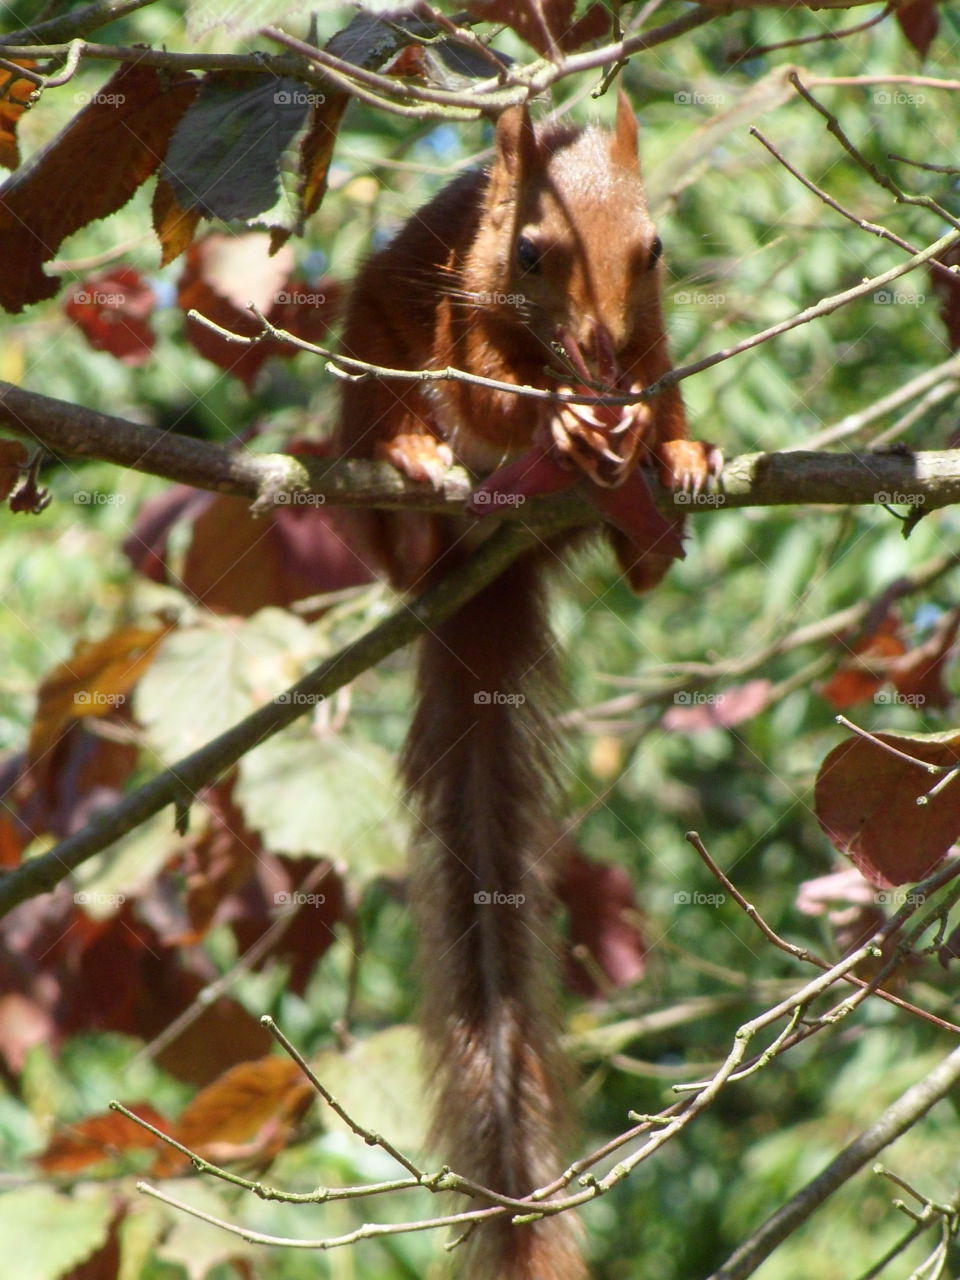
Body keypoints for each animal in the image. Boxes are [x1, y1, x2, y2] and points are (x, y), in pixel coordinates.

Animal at [333, 90, 719, 1279]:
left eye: (655, 249)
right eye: (531, 254)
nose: (596, 348)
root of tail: (480, 578)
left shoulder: (653, 341)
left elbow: (664, 387)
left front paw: (678, 448)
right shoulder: (457, 295)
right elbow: (484, 391)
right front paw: (548, 418)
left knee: (636, 554)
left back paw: (648, 527)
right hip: (371, 440)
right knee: (403, 460)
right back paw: (416, 475)